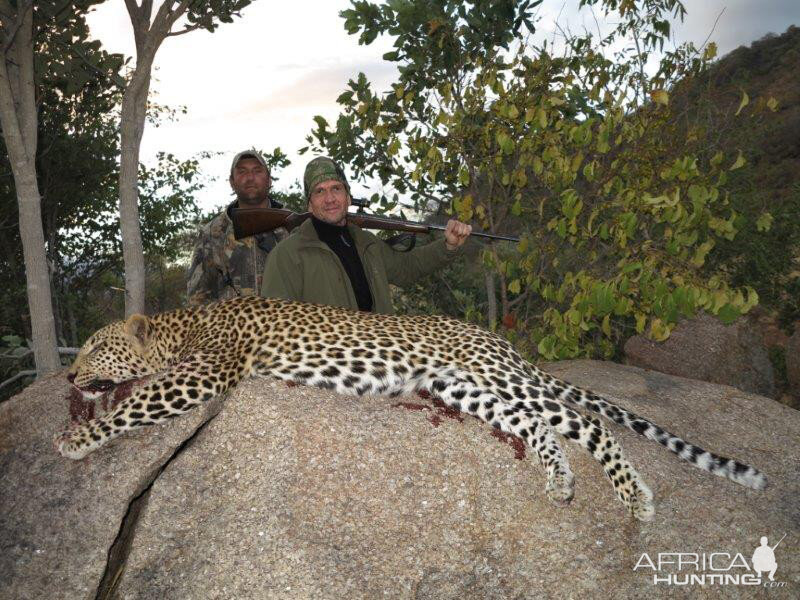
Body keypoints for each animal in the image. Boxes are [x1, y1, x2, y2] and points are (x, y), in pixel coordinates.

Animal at [53, 296, 764, 520]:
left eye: (92, 344)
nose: (66, 371)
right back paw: (560, 479)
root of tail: (497, 337)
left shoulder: (205, 372)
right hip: (459, 389)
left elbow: (140, 401)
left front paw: (76, 441)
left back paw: (631, 494)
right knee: (541, 425)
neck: (182, 326)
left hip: (497, 376)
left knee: (585, 421)